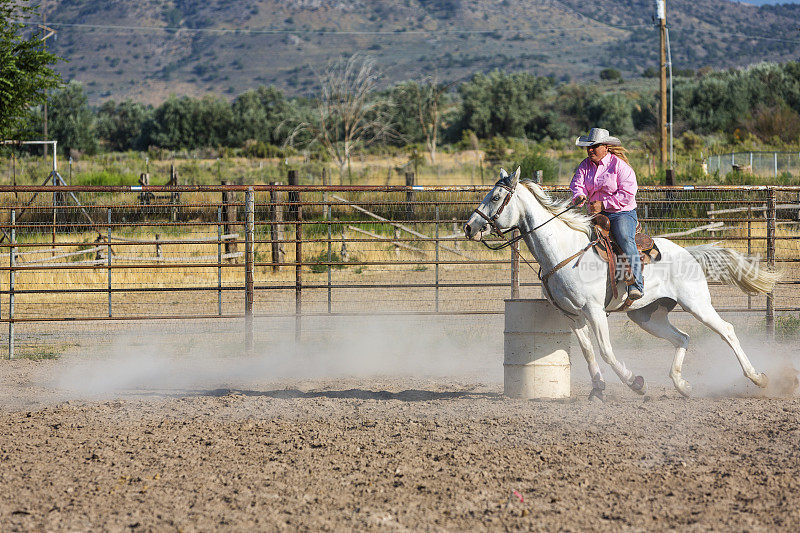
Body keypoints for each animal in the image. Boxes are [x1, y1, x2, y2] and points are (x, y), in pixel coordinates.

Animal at [466, 168, 780, 396]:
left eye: (496, 197)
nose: (470, 227)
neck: (565, 250)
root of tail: (687, 252)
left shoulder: (593, 310)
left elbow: (605, 351)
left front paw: (634, 382)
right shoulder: (570, 314)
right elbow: (587, 351)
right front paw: (598, 389)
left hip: (697, 304)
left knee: (726, 331)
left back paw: (758, 378)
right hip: (648, 315)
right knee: (682, 338)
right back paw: (682, 385)